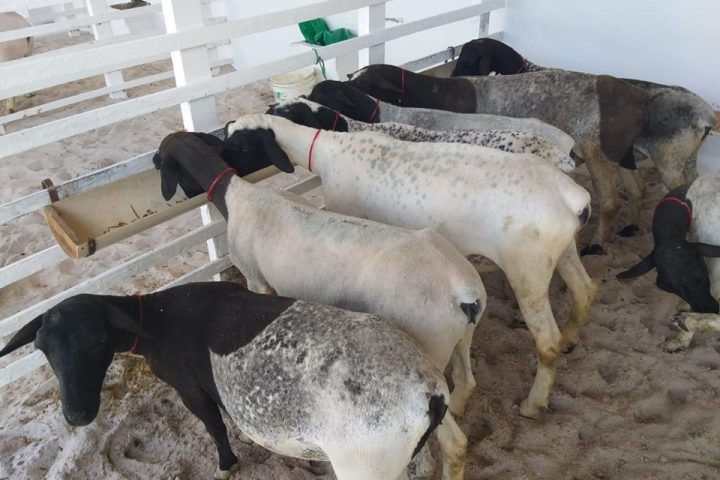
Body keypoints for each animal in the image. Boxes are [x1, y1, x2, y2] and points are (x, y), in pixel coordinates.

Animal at [0, 282, 458, 480]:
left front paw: (225, 465)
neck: (156, 321)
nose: (77, 414)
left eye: (97, 342)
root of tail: (430, 394)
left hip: (365, 462)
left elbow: (214, 426)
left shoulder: (190, 388)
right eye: (42, 349)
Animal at [225, 113, 598, 419]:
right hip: (562, 251)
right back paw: (572, 338)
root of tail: (571, 198)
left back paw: (533, 402)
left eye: (238, 143)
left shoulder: (350, 215)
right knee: (585, 290)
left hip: (528, 268)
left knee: (546, 342)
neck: (328, 151)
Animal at [345, 64, 650, 255]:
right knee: (637, 189)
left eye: (360, 82)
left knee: (610, 201)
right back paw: (630, 226)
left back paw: (596, 244)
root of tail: (638, 99)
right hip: (621, 153)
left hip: (596, 148)